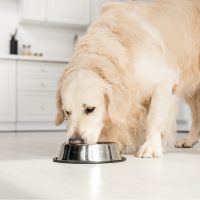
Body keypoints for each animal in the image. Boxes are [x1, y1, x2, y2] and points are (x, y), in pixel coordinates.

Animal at [54, 0, 200, 158]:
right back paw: (189, 140)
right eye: (67, 112)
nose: (75, 141)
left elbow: (153, 118)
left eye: (90, 109)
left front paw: (150, 147)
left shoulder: (164, 82)